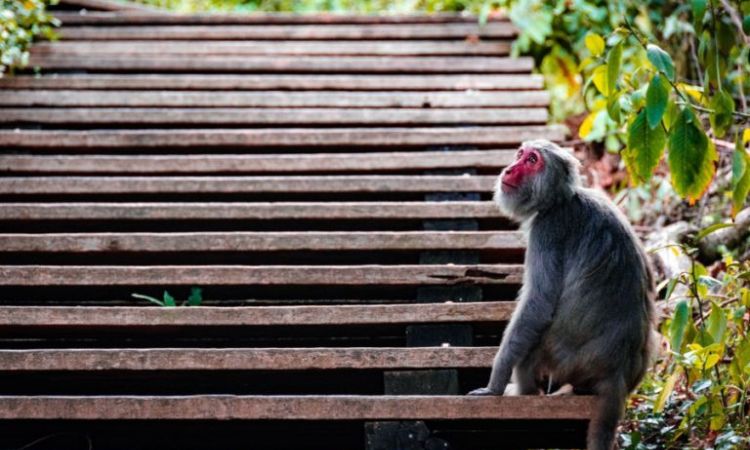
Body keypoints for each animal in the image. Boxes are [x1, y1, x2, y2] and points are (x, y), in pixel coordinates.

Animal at [470, 141, 656, 450]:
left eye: (532, 160)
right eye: (520, 154)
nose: (509, 169)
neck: (560, 201)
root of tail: (616, 372)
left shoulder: (548, 229)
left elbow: (539, 304)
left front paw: (493, 384)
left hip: (564, 360)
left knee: (532, 341)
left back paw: (524, 392)